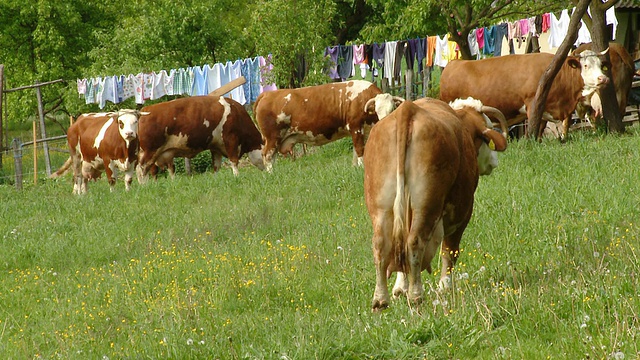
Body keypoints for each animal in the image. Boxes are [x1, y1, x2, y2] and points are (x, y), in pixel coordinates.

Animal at [136, 95, 264, 183]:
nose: (268, 173)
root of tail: (143, 111)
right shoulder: (231, 139)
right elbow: (234, 161)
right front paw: (237, 177)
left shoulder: (216, 147)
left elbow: (216, 165)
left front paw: (216, 179)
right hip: (150, 151)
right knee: (141, 169)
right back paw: (145, 186)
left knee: (152, 170)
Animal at [251, 80, 398, 173]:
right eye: (377, 110)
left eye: (392, 109)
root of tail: (266, 94)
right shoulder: (356, 127)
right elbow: (360, 150)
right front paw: (362, 168)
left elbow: (356, 153)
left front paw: (355, 167)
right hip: (272, 138)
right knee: (267, 156)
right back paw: (272, 174)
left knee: (272, 157)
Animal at [364, 97, 504, 310]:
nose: (494, 161)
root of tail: (407, 111)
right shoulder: (462, 212)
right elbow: (450, 251)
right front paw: (444, 286)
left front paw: (400, 288)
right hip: (426, 206)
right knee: (414, 241)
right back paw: (416, 295)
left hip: (381, 207)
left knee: (382, 244)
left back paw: (381, 299)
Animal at [440, 50, 608, 140]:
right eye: (585, 65)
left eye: (601, 65)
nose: (603, 78)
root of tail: (454, 63)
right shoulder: (533, 104)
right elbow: (533, 128)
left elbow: (541, 128)